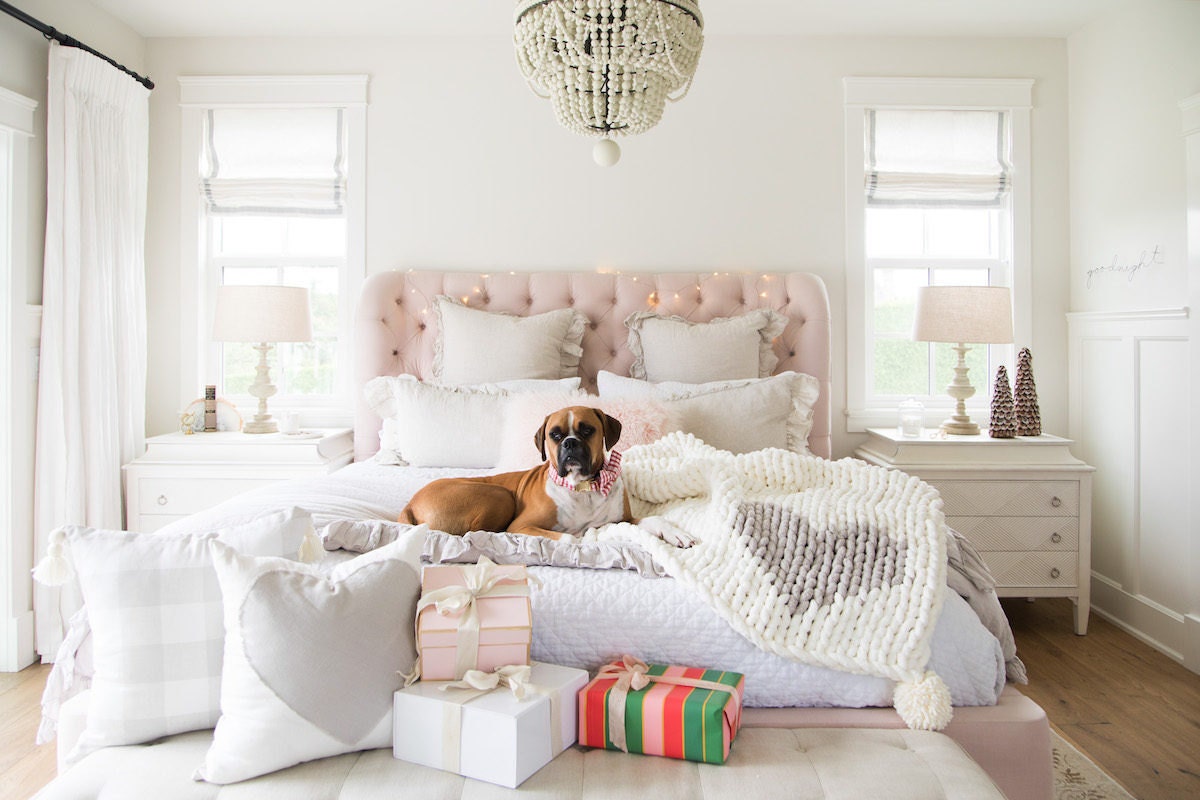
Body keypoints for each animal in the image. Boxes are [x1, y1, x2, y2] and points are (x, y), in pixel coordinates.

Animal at [398, 407, 691, 544]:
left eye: (587, 430)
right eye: (555, 435)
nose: (570, 443)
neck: (582, 488)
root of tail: (409, 504)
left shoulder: (625, 518)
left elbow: (652, 520)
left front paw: (675, 533)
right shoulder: (522, 525)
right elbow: (572, 537)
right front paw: (588, 534)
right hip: (499, 494)